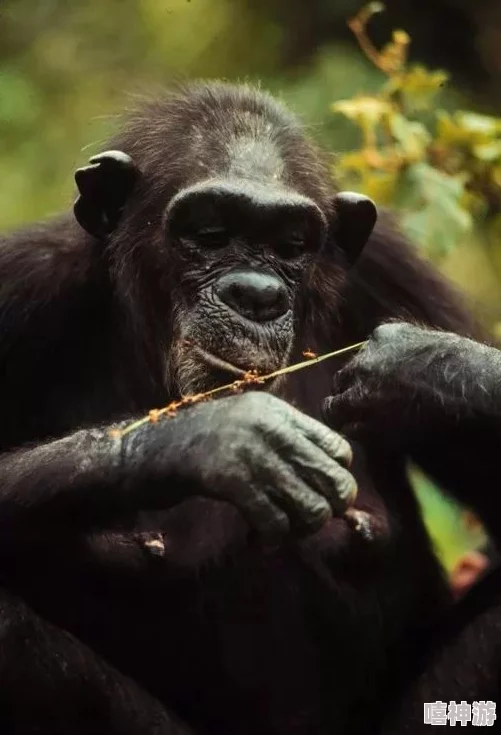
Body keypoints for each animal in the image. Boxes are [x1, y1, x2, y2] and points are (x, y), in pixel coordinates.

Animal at [0, 80, 488, 735]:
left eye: (291, 245)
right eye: (209, 233)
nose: (255, 293)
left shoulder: (394, 273)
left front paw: (421, 369)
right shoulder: (19, 284)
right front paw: (220, 440)